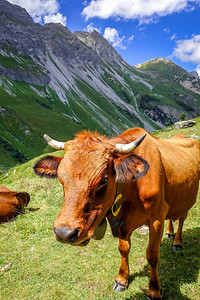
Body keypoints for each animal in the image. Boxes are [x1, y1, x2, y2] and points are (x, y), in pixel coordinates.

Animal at [33, 127, 199, 298]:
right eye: (61, 178)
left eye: (103, 180)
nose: (64, 233)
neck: (132, 187)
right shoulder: (122, 223)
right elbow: (123, 249)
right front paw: (121, 279)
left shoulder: (156, 219)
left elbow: (152, 255)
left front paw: (153, 290)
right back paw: (170, 233)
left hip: (188, 199)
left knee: (182, 219)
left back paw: (177, 242)